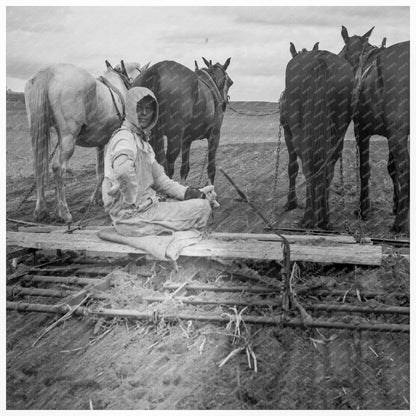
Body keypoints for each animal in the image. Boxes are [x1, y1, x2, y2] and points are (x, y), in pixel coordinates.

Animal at [24, 59, 141, 223]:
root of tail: (50, 72)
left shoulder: (100, 140)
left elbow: (100, 169)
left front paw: (97, 198)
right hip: (68, 137)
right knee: (58, 168)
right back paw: (64, 213)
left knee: (39, 165)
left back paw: (41, 210)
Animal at [280, 44, 354, 229]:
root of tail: (320, 59)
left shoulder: (287, 133)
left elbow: (292, 168)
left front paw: (291, 203)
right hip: (338, 134)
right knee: (327, 169)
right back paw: (323, 218)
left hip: (299, 133)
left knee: (308, 167)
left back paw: (309, 217)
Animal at [342, 27, 410, 232]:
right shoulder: (392, 135)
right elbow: (391, 168)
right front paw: (396, 204)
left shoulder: (361, 130)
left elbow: (364, 168)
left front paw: (363, 209)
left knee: (406, 169)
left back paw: (399, 223)